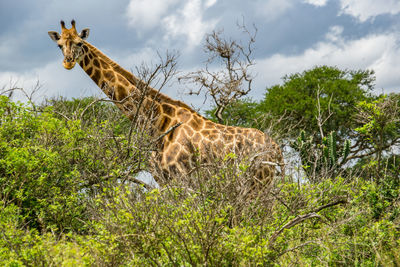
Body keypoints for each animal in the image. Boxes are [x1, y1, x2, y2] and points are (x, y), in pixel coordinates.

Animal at [47, 21, 284, 187]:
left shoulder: (182, 178)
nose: (68, 62)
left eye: (79, 43)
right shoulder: (163, 181)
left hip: (257, 184)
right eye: (59, 45)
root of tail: (277, 149)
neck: (157, 122)